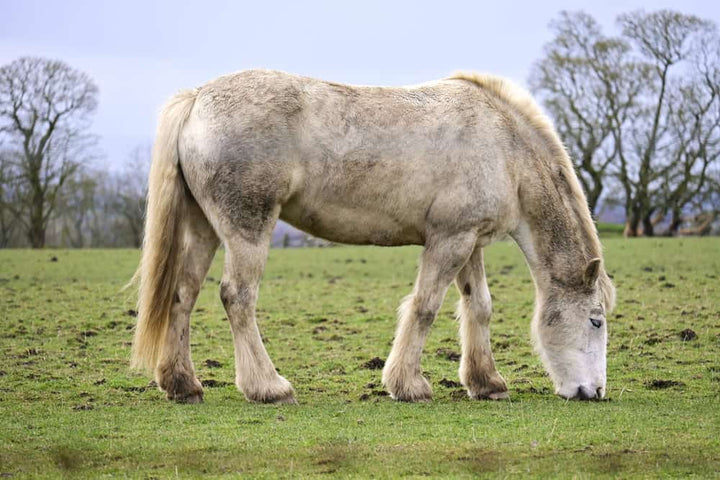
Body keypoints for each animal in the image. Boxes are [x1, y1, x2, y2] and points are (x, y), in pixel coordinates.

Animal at [130, 69, 615, 404]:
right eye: (596, 320)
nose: (593, 392)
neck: (503, 146)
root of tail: (197, 99)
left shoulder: (469, 241)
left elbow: (478, 307)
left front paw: (487, 383)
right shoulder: (449, 241)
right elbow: (425, 307)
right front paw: (408, 385)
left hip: (203, 228)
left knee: (182, 295)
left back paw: (183, 385)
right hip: (246, 228)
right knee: (237, 298)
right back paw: (268, 387)